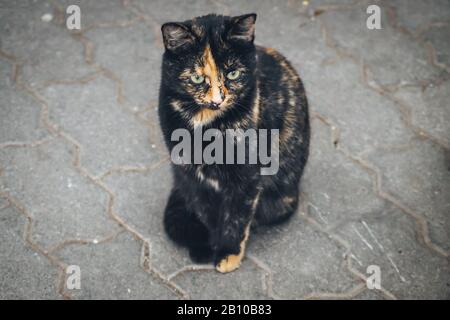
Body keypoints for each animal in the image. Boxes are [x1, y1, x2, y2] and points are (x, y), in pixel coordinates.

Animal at [158, 13, 310, 272]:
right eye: (197, 78)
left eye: (233, 74)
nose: (218, 100)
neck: (204, 126)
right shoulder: (192, 177)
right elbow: (207, 213)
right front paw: (209, 246)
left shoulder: (247, 176)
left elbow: (236, 217)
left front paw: (228, 254)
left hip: (280, 198)